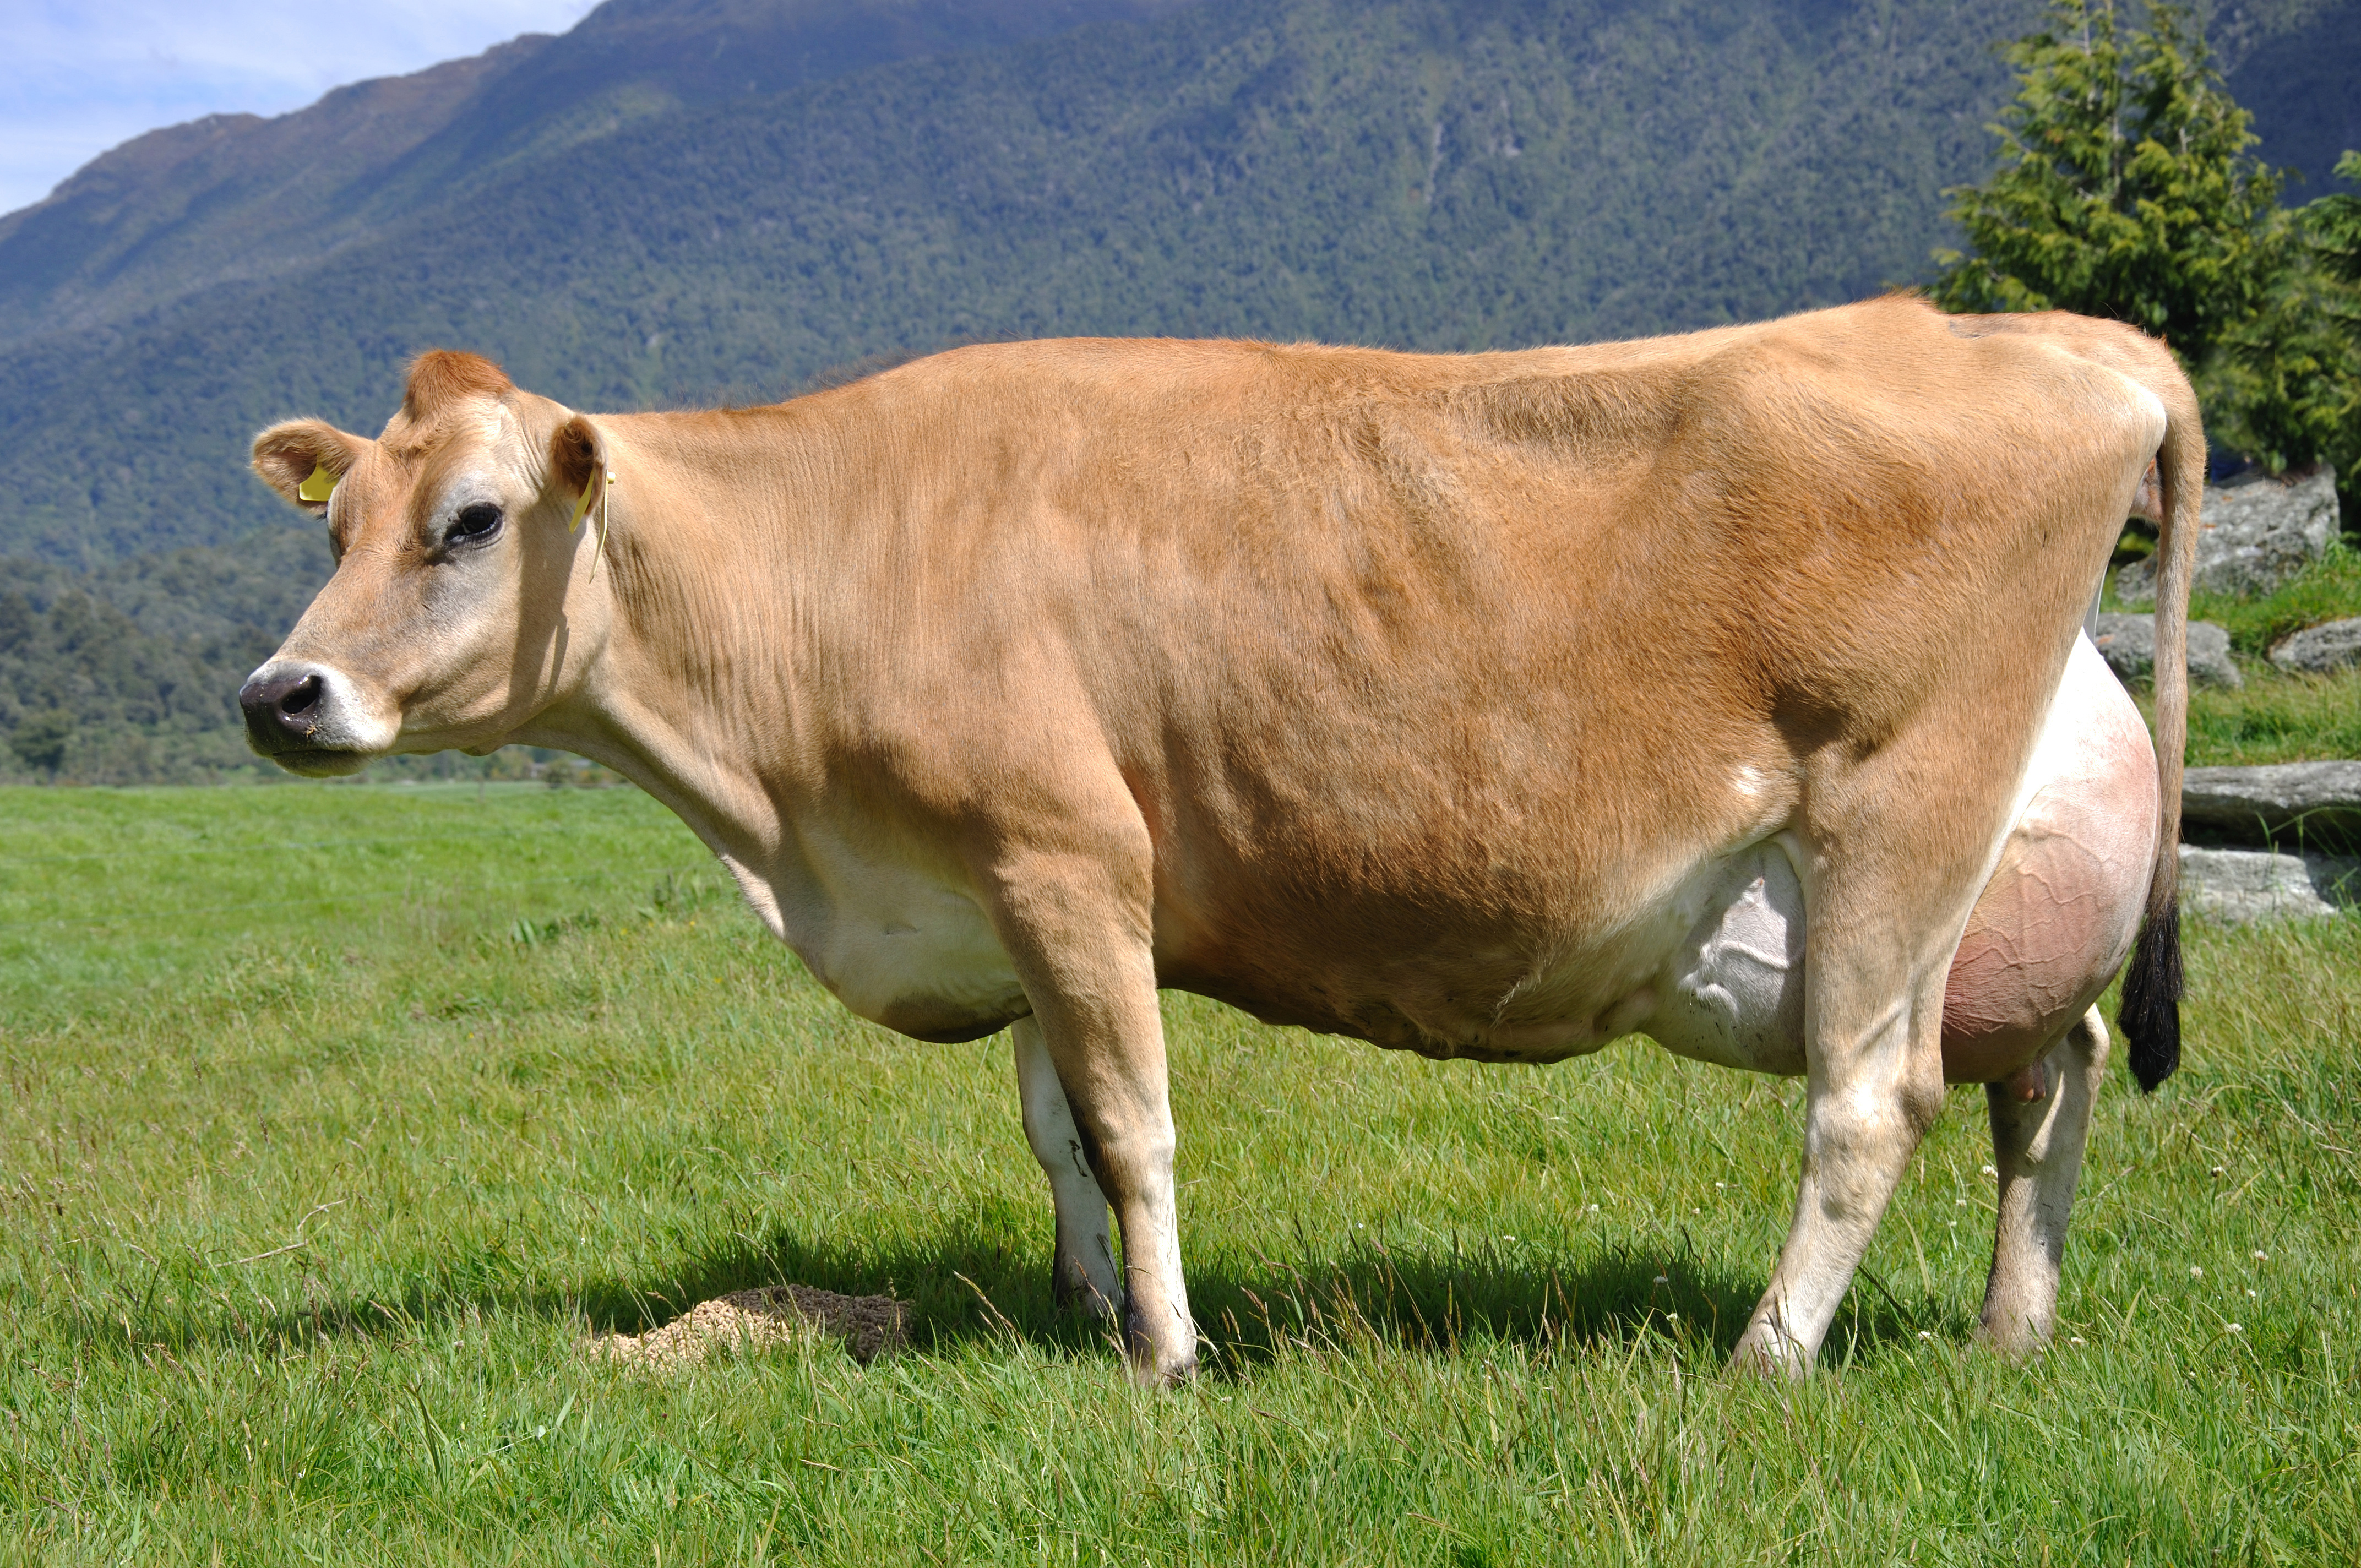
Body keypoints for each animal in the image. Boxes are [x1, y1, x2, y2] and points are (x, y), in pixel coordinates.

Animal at [238, 296, 2195, 1384]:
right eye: (335, 520)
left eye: (472, 521)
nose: (281, 693)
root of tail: (2039, 333)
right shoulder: (998, 890)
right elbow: (1050, 1130)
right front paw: (1089, 1305)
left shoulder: (1066, 856)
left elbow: (1130, 1123)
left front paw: (1168, 1358)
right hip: (2006, 887)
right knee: (2054, 1071)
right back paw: (2011, 1328)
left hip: (1895, 818)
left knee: (1872, 1103)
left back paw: (1766, 1361)